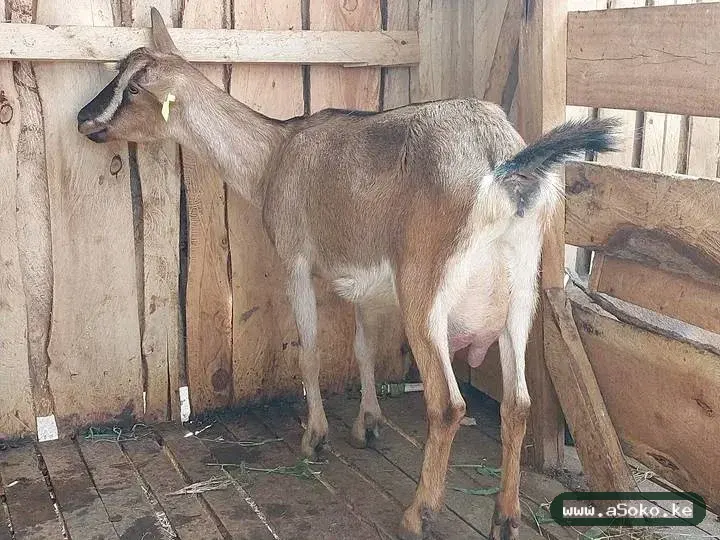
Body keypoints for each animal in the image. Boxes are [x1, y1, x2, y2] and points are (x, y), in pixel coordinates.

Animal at [77, 9, 619, 539]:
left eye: (132, 87)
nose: (83, 118)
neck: (275, 154)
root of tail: (501, 160)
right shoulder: (368, 286)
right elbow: (362, 350)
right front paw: (368, 425)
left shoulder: (296, 260)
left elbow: (310, 350)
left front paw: (315, 437)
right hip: (524, 294)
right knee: (518, 403)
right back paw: (505, 517)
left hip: (425, 291)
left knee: (448, 404)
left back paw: (418, 514)